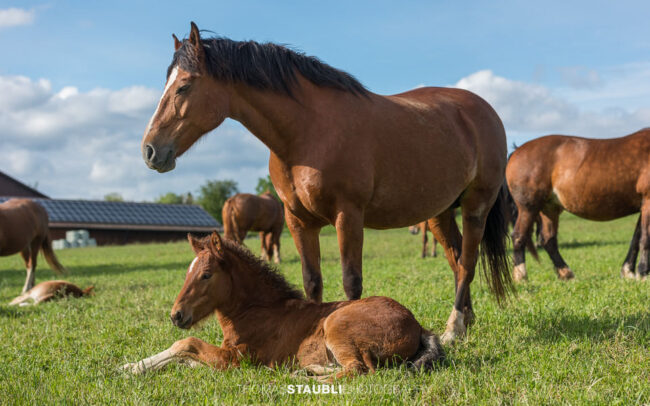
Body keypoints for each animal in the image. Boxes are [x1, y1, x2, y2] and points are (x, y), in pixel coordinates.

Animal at [120, 233, 446, 380]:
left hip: (335, 324)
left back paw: (298, 376)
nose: (176, 315)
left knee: (357, 370)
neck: (258, 310)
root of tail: (418, 325)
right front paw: (132, 366)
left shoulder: (237, 359)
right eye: (188, 271)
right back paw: (310, 369)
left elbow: (185, 344)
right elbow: (185, 356)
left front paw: (134, 367)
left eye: (206, 274)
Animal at [140, 22, 512, 342]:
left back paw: (454, 327)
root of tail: (485, 111)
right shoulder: (299, 222)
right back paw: (466, 319)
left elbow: (351, 283)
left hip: (476, 206)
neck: (308, 133)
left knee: (468, 262)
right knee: (457, 258)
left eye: (184, 86)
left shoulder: (348, 216)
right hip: (440, 212)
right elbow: (312, 282)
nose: (150, 150)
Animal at [506, 131, 648, 282]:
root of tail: (517, 151)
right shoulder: (647, 201)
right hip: (528, 208)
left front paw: (628, 271)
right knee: (519, 236)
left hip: (549, 209)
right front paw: (643, 273)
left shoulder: (643, 205)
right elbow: (645, 238)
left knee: (548, 240)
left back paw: (566, 273)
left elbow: (637, 238)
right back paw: (521, 275)